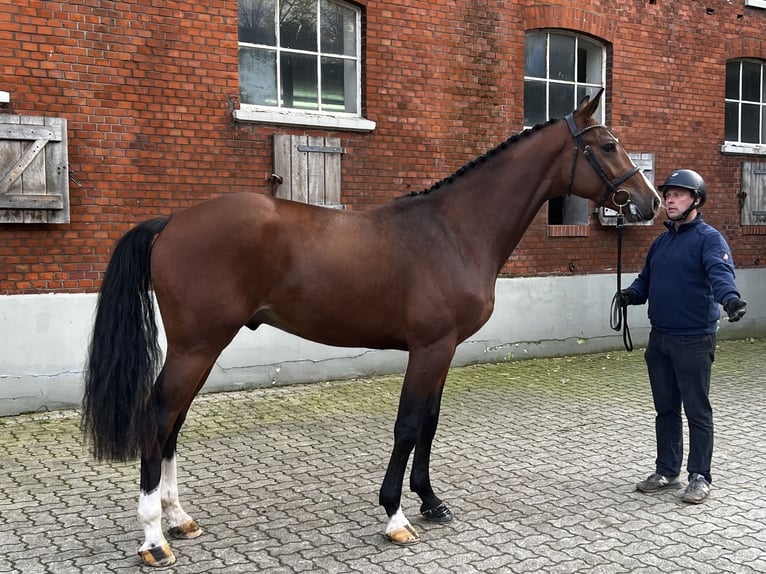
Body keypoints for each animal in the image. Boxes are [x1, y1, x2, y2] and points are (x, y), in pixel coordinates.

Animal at [82, 90, 660, 568]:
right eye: (608, 146)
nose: (650, 202)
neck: (454, 231)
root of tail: (172, 221)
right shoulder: (429, 349)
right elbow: (408, 426)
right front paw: (396, 517)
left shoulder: (444, 351)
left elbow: (429, 423)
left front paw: (431, 502)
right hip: (196, 347)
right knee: (158, 417)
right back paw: (153, 539)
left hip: (199, 349)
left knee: (172, 423)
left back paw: (178, 519)